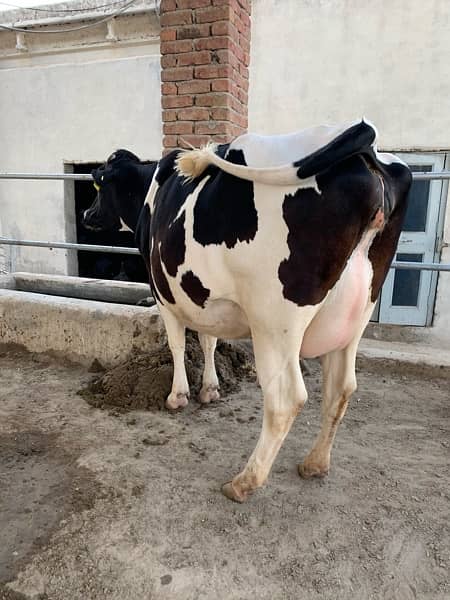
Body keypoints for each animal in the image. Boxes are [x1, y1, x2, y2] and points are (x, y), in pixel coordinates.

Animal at [83, 120, 412, 502]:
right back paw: (314, 463)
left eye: (98, 184)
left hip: (274, 321)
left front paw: (178, 395)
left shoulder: (163, 292)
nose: (86, 214)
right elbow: (209, 340)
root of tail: (367, 149)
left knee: (286, 397)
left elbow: (177, 345)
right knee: (341, 387)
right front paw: (210, 389)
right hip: (355, 317)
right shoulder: (200, 295)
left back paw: (245, 481)